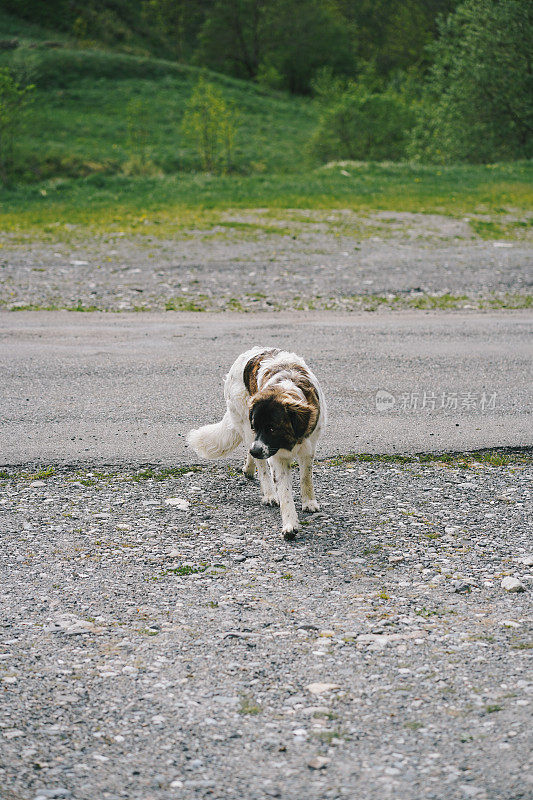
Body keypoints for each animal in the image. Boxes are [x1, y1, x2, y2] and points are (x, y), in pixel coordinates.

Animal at [189, 348, 326, 540]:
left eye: (272, 428)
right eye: (257, 426)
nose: (255, 451)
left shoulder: (309, 447)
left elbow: (306, 478)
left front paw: (309, 502)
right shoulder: (274, 455)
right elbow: (285, 493)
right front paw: (290, 525)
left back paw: (249, 467)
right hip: (245, 424)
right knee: (262, 466)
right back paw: (268, 493)